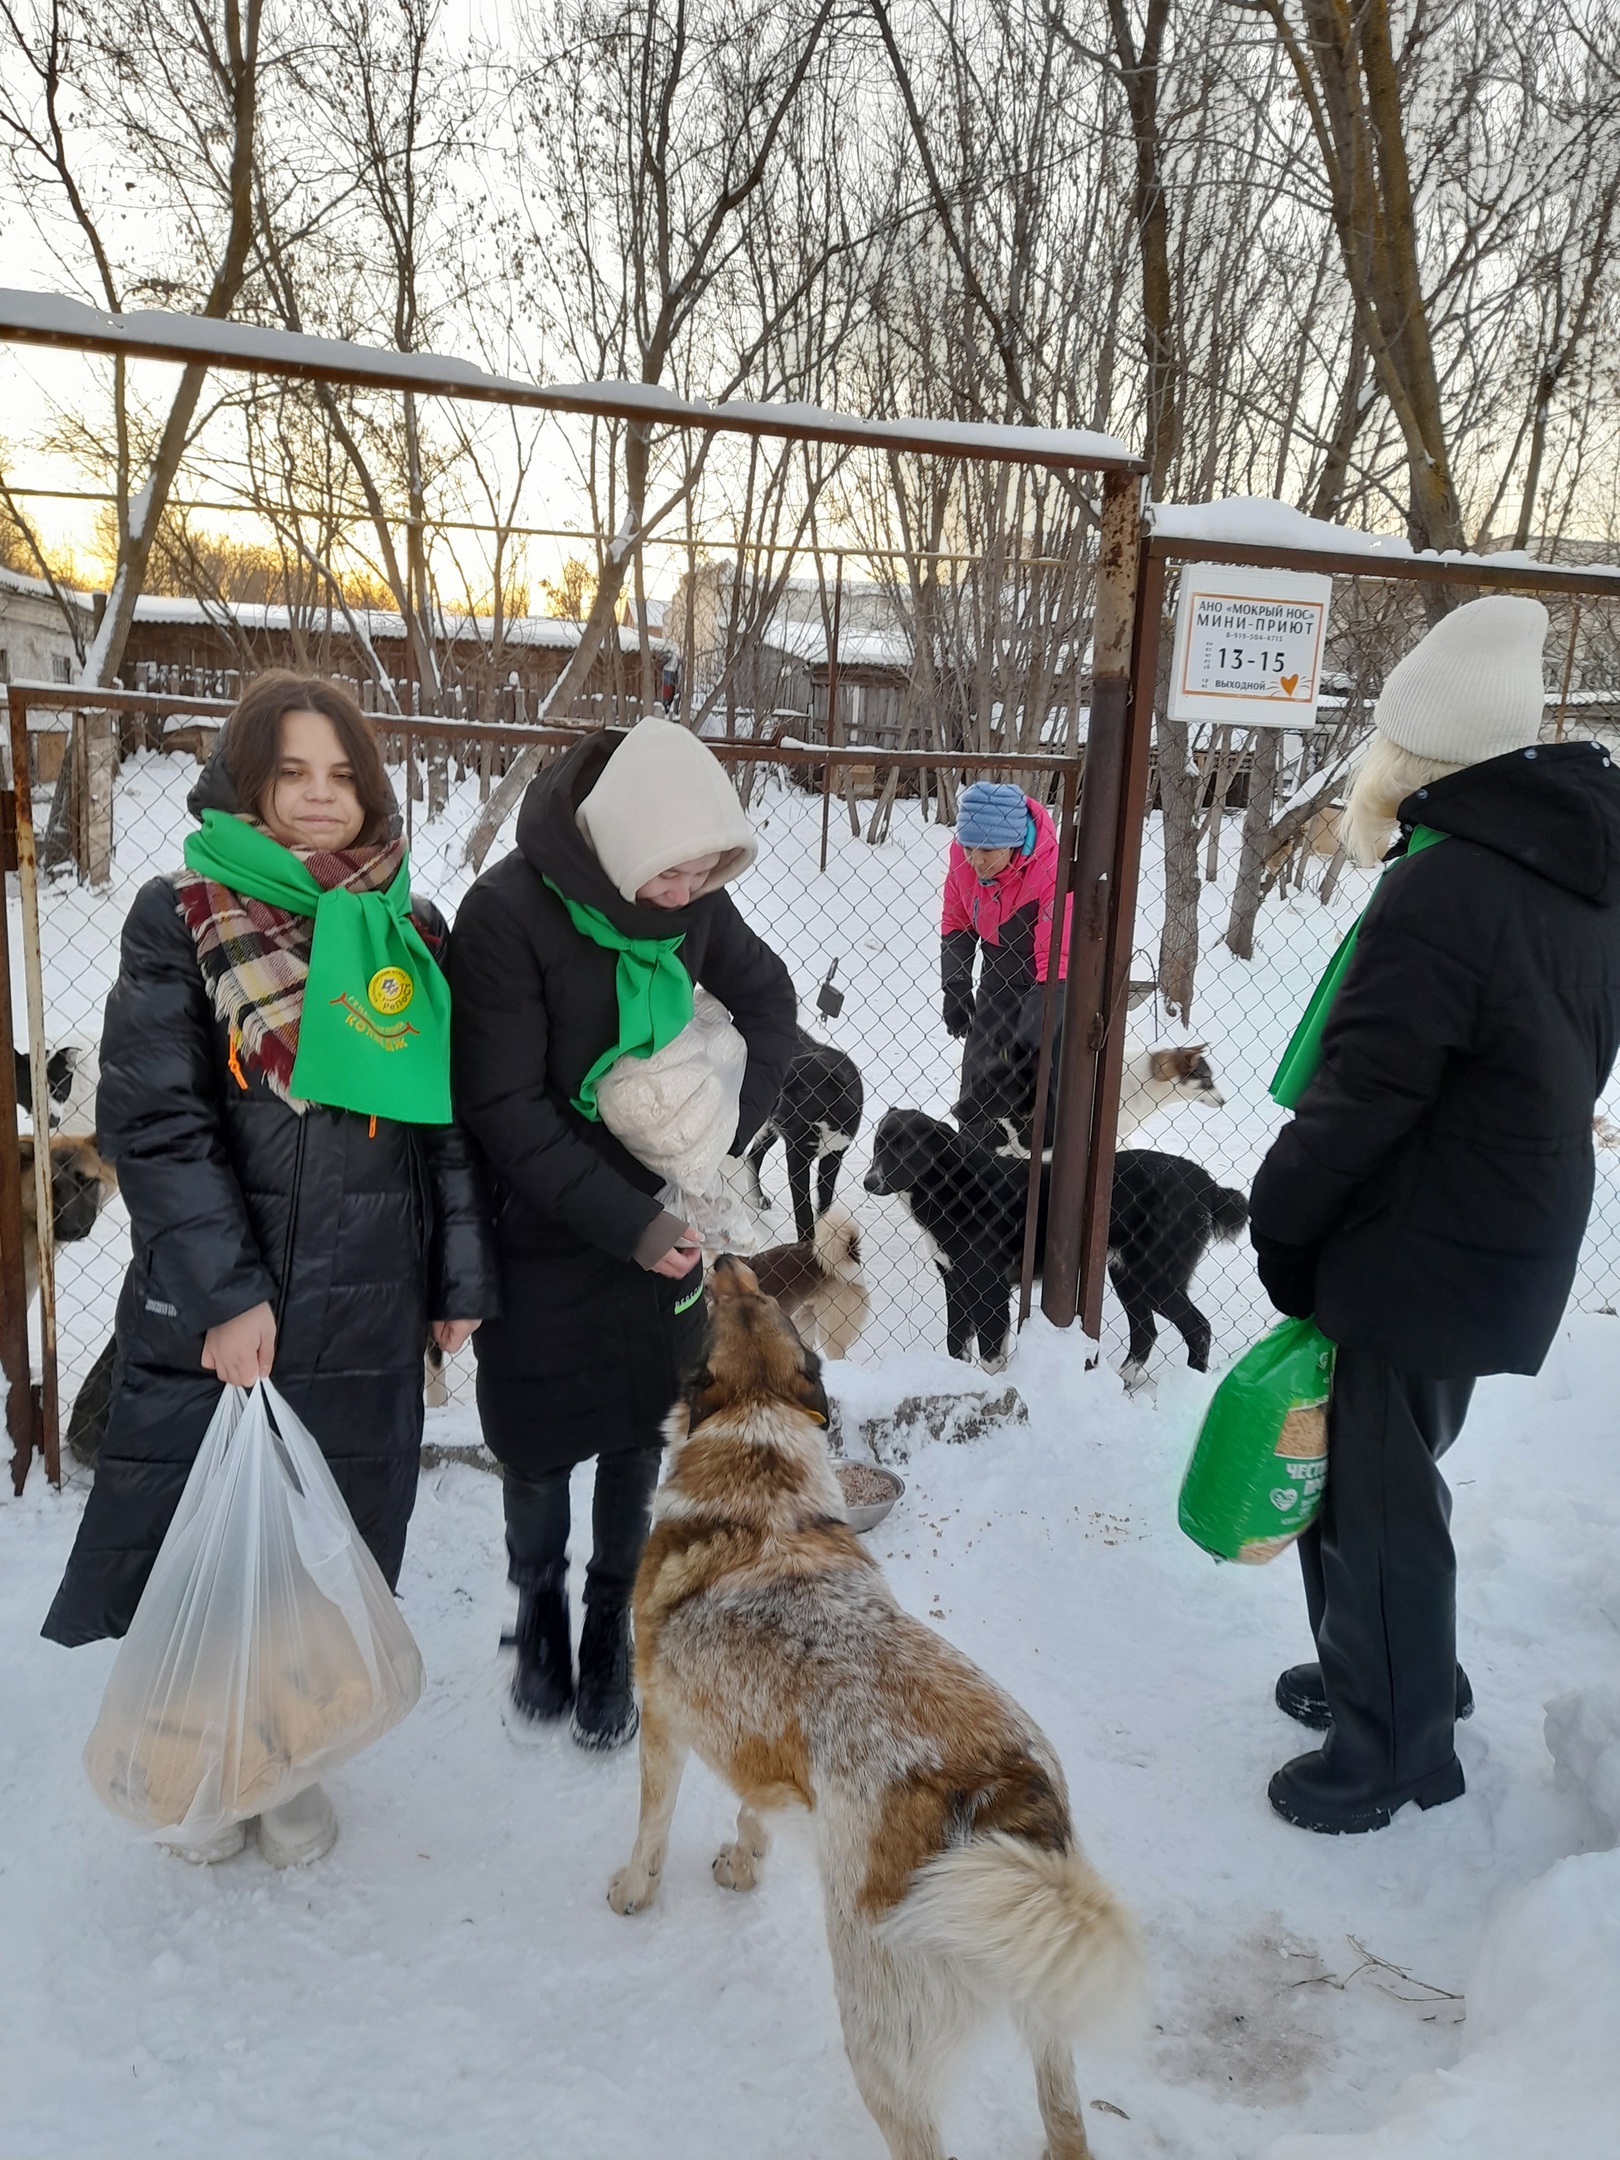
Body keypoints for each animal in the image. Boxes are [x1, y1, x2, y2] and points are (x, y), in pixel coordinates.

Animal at [609, 1252, 1140, 2160]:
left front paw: (634, 1893)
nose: (723, 1257)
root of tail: (1000, 1787)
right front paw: (743, 1863)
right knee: (1068, 2126)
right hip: (1042, 1991)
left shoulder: (665, 1724)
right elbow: (752, 1809)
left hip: (877, 2031)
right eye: (757, 1300)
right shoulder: (755, 1745)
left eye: (714, 1309)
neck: (758, 1461)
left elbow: (652, 1829)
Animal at [747, 1032, 864, 1252]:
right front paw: (805, 1244)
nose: (777, 1118)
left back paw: (755, 1197)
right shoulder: (797, 1157)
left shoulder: (833, 1157)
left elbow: (824, 1201)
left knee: (753, 1155)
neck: (824, 1119)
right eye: (782, 1090)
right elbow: (803, 1209)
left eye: (805, 1092)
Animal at [868, 1105, 1252, 1373]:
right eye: (878, 1144)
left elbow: (991, 1356)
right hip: (1127, 1275)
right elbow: (956, 1346)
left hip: (1155, 1276)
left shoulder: (990, 1288)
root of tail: (1208, 1185)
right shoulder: (955, 1281)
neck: (954, 1187)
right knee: (1145, 1332)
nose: (869, 1182)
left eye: (906, 1149)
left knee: (1198, 1328)